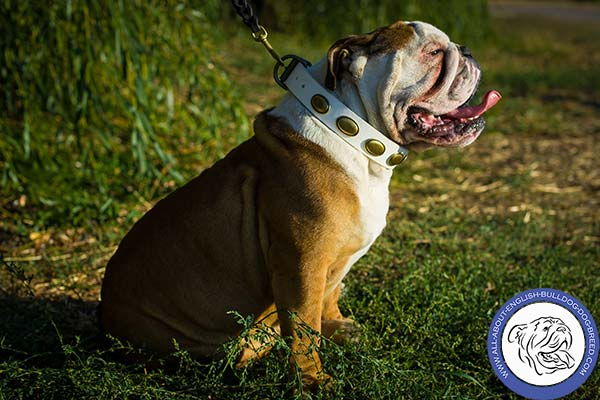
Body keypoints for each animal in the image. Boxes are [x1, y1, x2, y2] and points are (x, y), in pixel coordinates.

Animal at [99, 20, 502, 386]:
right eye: (433, 52)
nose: (467, 51)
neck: (351, 132)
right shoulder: (302, 263)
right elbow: (305, 329)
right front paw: (314, 381)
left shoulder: (330, 265)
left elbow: (328, 298)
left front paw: (338, 327)